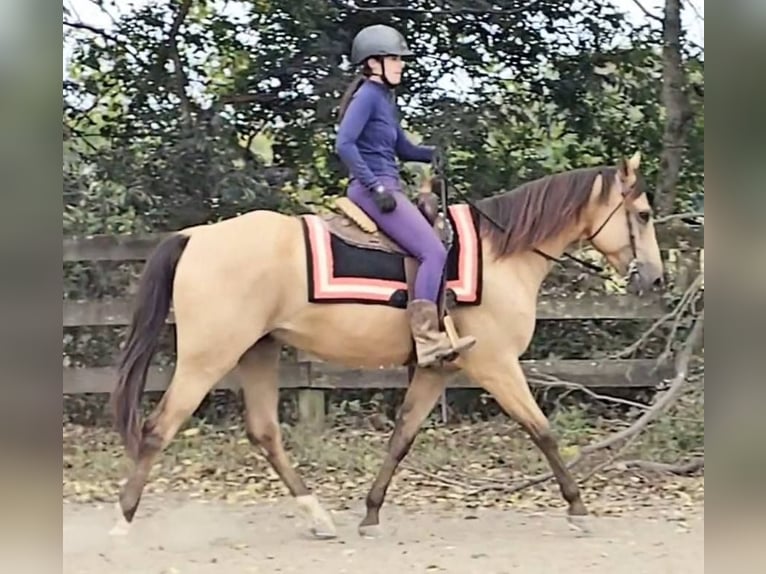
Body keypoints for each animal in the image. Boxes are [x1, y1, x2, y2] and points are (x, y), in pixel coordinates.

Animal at [109, 151, 664, 539]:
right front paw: (578, 508)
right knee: (158, 429)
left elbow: (401, 437)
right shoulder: (495, 365)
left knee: (264, 432)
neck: (500, 256)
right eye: (641, 214)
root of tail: (196, 237)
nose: (655, 278)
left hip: (257, 351)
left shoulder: (437, 369)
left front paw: (371, 512)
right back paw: (123, 520)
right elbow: (543, 432)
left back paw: (319, 516)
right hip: (207, 358)